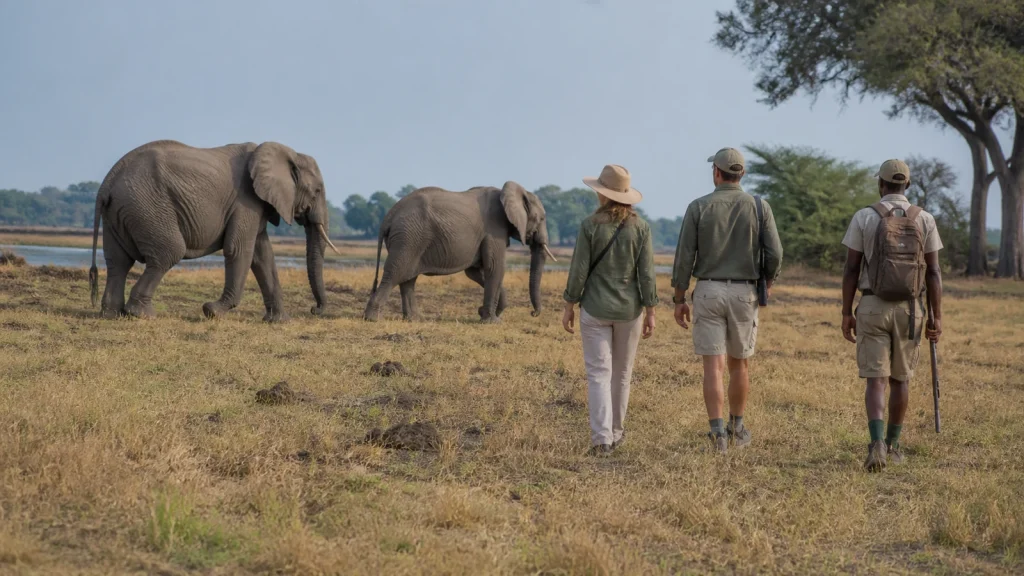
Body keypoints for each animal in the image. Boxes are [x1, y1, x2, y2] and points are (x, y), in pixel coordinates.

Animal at [87, 139, 340, 322]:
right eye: (317, 191)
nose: (314, 310)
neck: (287, 153)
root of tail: (107, 183)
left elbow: (263, 256)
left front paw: (279, 321)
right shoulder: (246, 200)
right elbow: (239, 250)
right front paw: (212, 312)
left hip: (121, 212)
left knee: (118, 261)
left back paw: (111, 314)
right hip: (146, 205)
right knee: (169, 252)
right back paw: (142, 315)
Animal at [362, 182, 556, 323]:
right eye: (542, 218)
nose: (533, 313)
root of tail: (389, 215)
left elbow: (475, 272)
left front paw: (488, 314)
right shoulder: (495, 229)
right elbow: (495, 268)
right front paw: (492, 321)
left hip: (409, 239)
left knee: (408, 279)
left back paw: (414, 319)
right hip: (408, 237)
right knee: (395, 274)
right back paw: (372, 319)